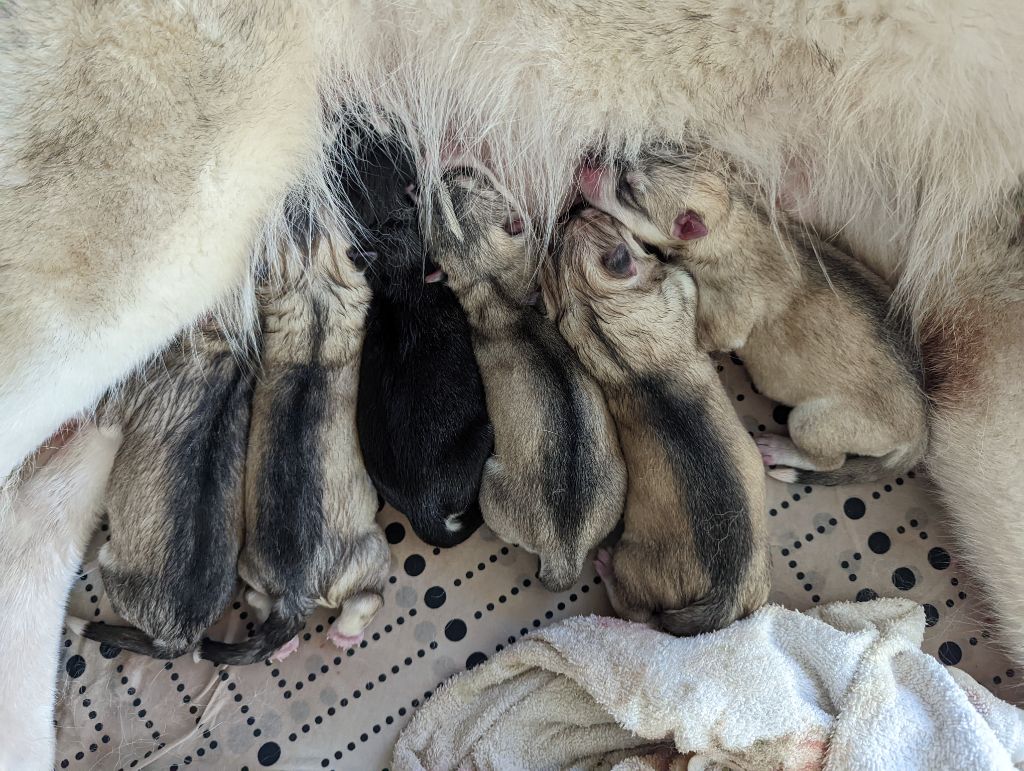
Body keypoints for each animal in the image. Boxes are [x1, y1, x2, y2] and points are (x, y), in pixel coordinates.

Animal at [198, 221, 387, 663]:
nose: (300, 216)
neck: (314, 295)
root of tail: (296, 592)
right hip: (367, 555)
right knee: (365, 599)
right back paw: (344, 634)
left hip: (252, 566)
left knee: (255, 597)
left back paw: (284, 645)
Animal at [581, 149, 933, 483]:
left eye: (629, 191)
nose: (586, 164)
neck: (730, 219)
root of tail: (920, 434)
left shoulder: (728, 315)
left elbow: (712, 331)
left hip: (815, 421)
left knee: (828, 460)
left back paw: (778, 449)